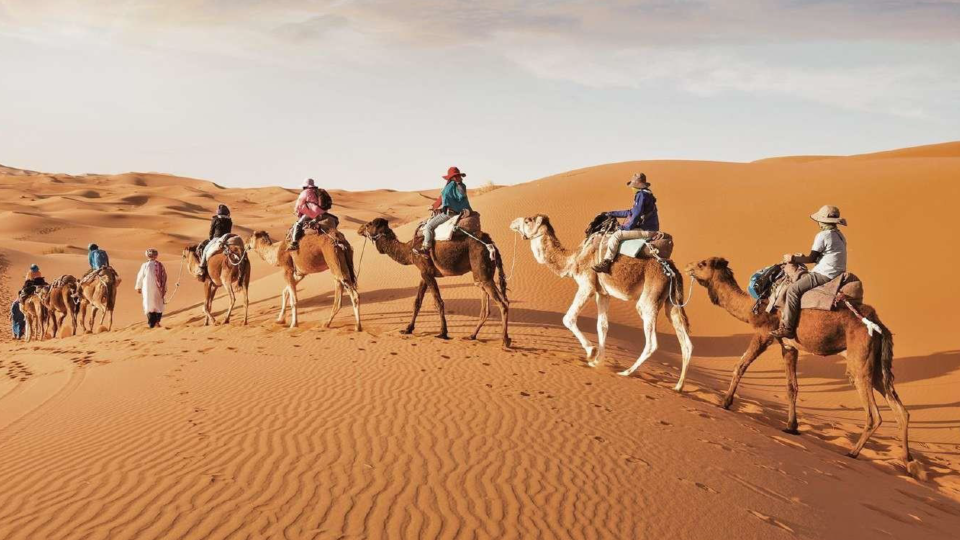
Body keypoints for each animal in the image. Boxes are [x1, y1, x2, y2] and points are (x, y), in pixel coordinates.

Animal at [358, 215, 510, 346]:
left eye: (369, 224)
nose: (359, 229)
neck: (409, 250)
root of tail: (492, 244)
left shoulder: (427, 272)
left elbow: (438, 302)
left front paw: (443, 333)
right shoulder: (424, 273)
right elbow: (417, 302)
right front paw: (407, 329)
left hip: (481, 269)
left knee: (503, 303)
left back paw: (505, 341)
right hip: (481, 275)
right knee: (487, 307)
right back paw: (472, 336)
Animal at [506, 216, 692, 392]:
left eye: (528, 220)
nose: (513, 222)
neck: (574, 258)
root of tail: (672, 271)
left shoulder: (587, 286)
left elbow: (568, 318)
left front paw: (591, 352)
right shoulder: (602, 293)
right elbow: (602, 326)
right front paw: (598, 361)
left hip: (649, 299)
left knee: (652, 341)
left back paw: (626, 372)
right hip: (671, 302)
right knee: (686, 343)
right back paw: (678, 386)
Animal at [688, 255, 920, 474]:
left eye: (702, 264)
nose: (688, 266)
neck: (753, 307)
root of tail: (880, 325)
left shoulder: (764, 333)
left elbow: (740, 365)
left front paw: (725, 402)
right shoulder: (788, 345)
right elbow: (792, 387)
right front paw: (791, 426)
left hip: (859, 362)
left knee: (874, 414)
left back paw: (853, 452)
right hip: (878, 365)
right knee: (900, 410)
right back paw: (907, 461)